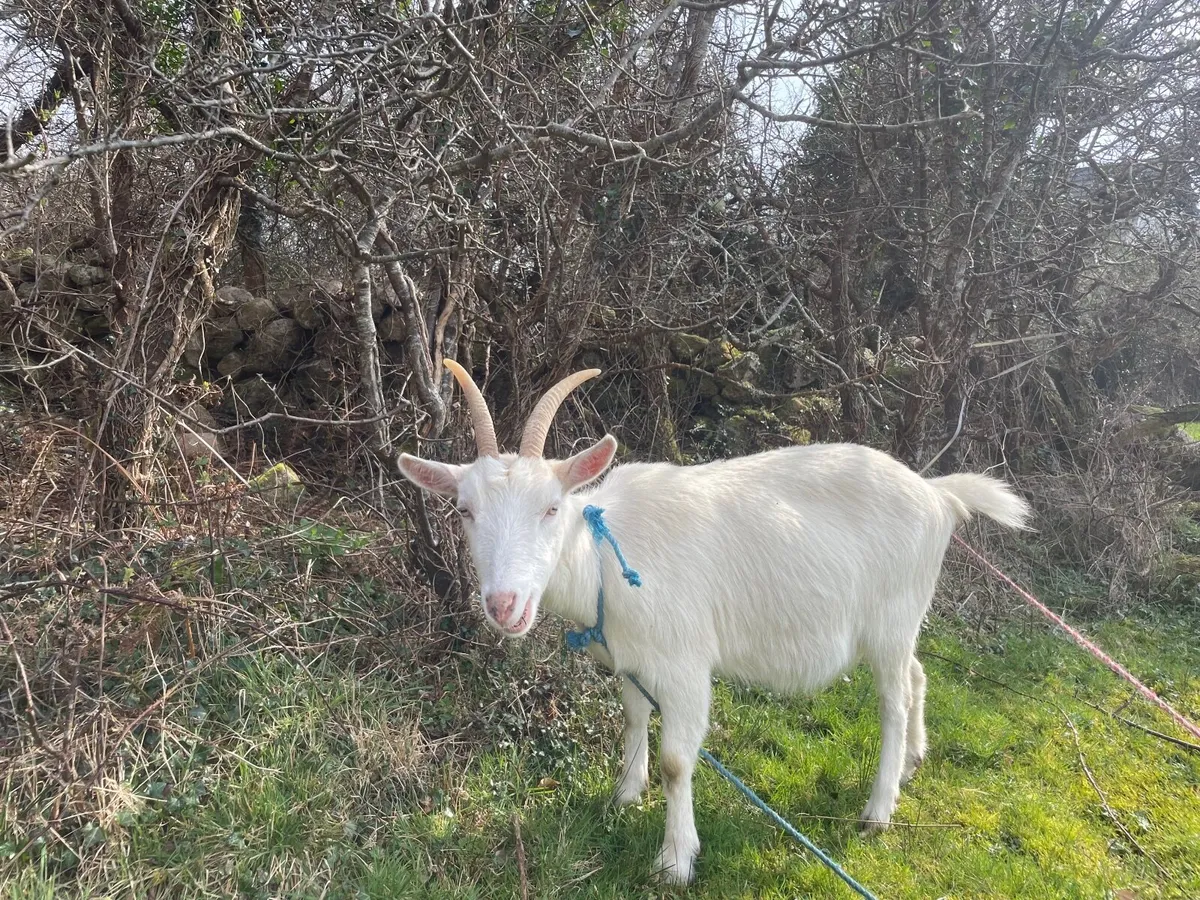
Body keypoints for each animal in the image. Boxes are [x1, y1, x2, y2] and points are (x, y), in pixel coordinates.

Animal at [398, 361, 1032, 884]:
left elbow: (679, 761)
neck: (605, 555)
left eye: (551, 508)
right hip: (899, 622)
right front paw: (625, 794)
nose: (503, 605)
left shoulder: (683, 664)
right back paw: (913, 762)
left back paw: (878, 809)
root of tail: (938, 495)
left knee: (893, 702)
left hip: (893, 614)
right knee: (918, 674)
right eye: (464, 510)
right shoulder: (632, 659)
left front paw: (676, 860)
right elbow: (633, 719)